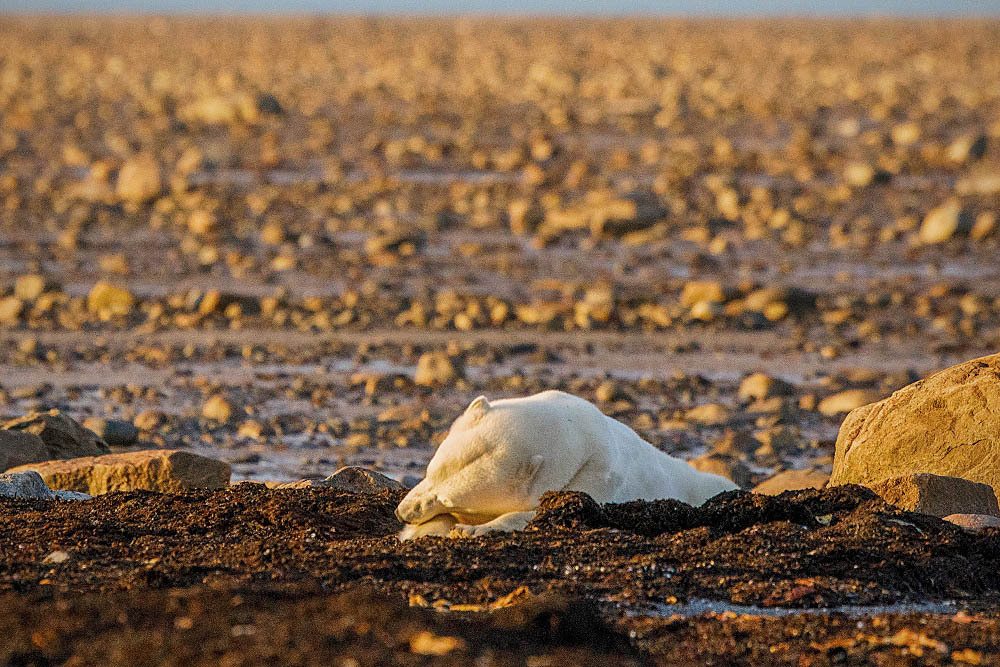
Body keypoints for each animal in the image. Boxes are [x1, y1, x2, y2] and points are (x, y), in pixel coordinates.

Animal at [394, 392, 740, 544]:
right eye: (431, 472)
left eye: (448, 498)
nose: (402, 512)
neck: (579, 433)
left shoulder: (597, 477)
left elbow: (540, 511)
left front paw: (472, 528)